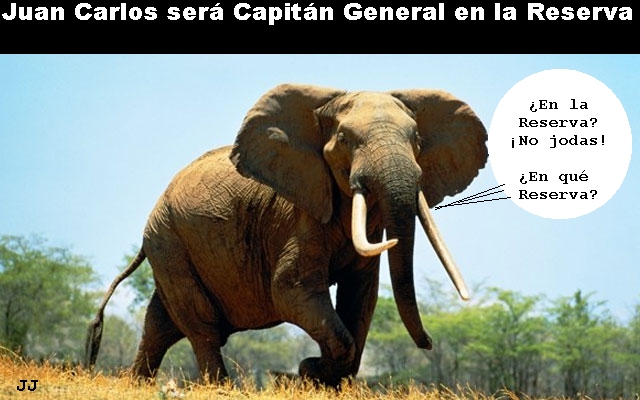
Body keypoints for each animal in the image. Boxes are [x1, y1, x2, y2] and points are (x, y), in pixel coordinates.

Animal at [85, 83, 488, 386]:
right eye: (345, 139)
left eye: (417, 138)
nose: (430, 343)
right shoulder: (299, 214)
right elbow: (291, 290)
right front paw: (307, 371)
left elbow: (360, 298)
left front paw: (324, 380)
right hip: (167, 240)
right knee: (201, 324)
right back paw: (220, 387)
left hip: (168, 242)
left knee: (161, 323)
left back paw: (136, 383)